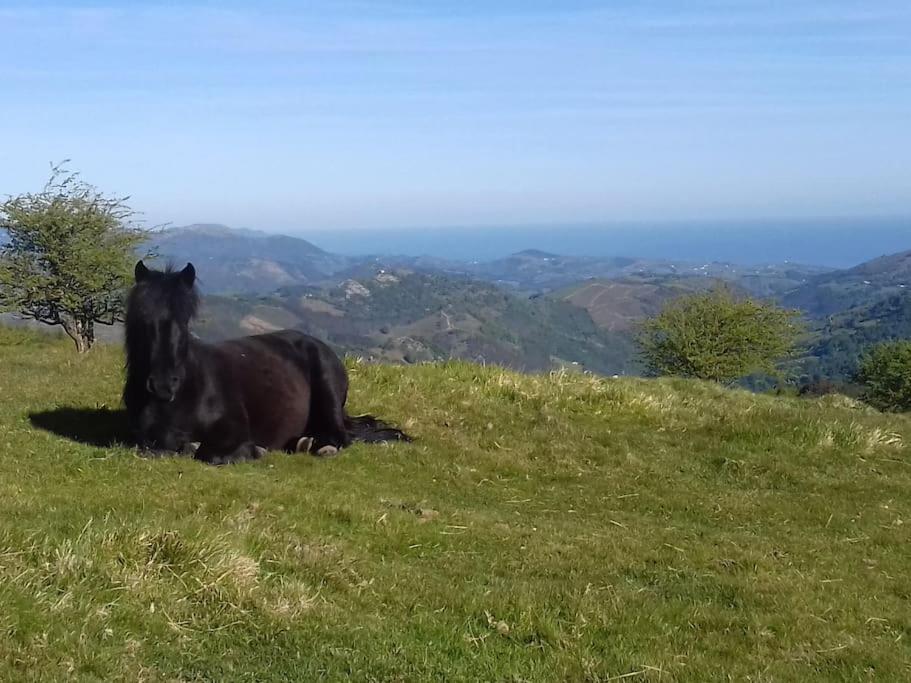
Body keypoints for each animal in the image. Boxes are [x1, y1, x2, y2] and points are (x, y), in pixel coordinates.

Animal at [124, 262, 410, 464]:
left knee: (340, 436)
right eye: (143, 319)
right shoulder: (147, 440)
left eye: (184, 320)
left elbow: (209, 453)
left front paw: (253, 451)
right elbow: (159, 449)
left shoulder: (234, 429)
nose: (163, 386)